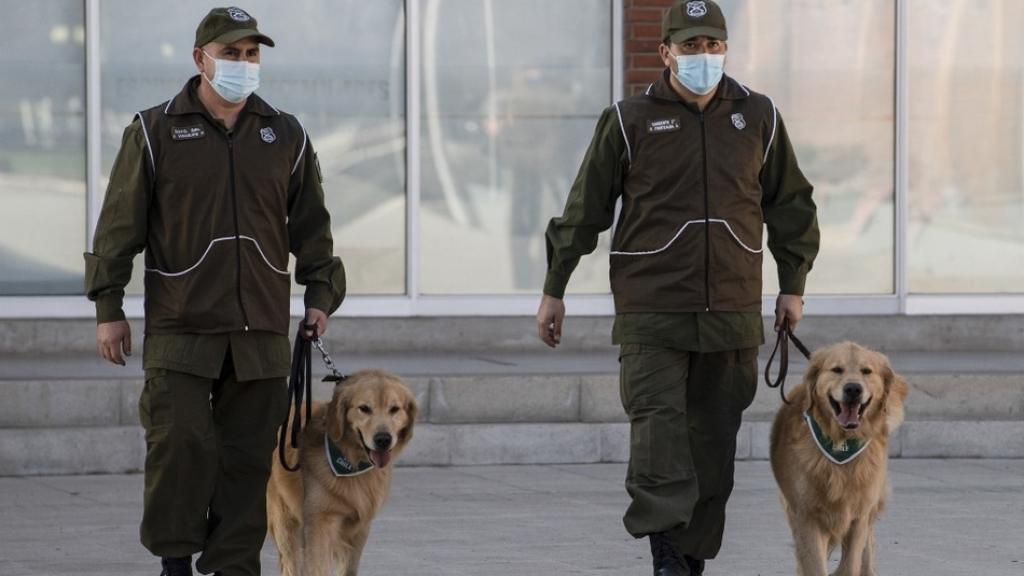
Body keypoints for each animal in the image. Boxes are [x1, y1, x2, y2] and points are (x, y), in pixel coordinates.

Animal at [270, 366, 421, 573]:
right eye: (364, 408)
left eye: (394, 409)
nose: (383, 439)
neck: (351, 462)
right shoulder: (319, 523)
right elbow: (317, 568)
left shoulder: (360, 527)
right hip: (285, 525)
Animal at [770, 340, 909, 573]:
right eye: (836, 369)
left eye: (866, 371)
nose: (853, 388)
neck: (840, 445)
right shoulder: (806, 515)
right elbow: (814, 565)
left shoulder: (858, 516)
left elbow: (851, 564)